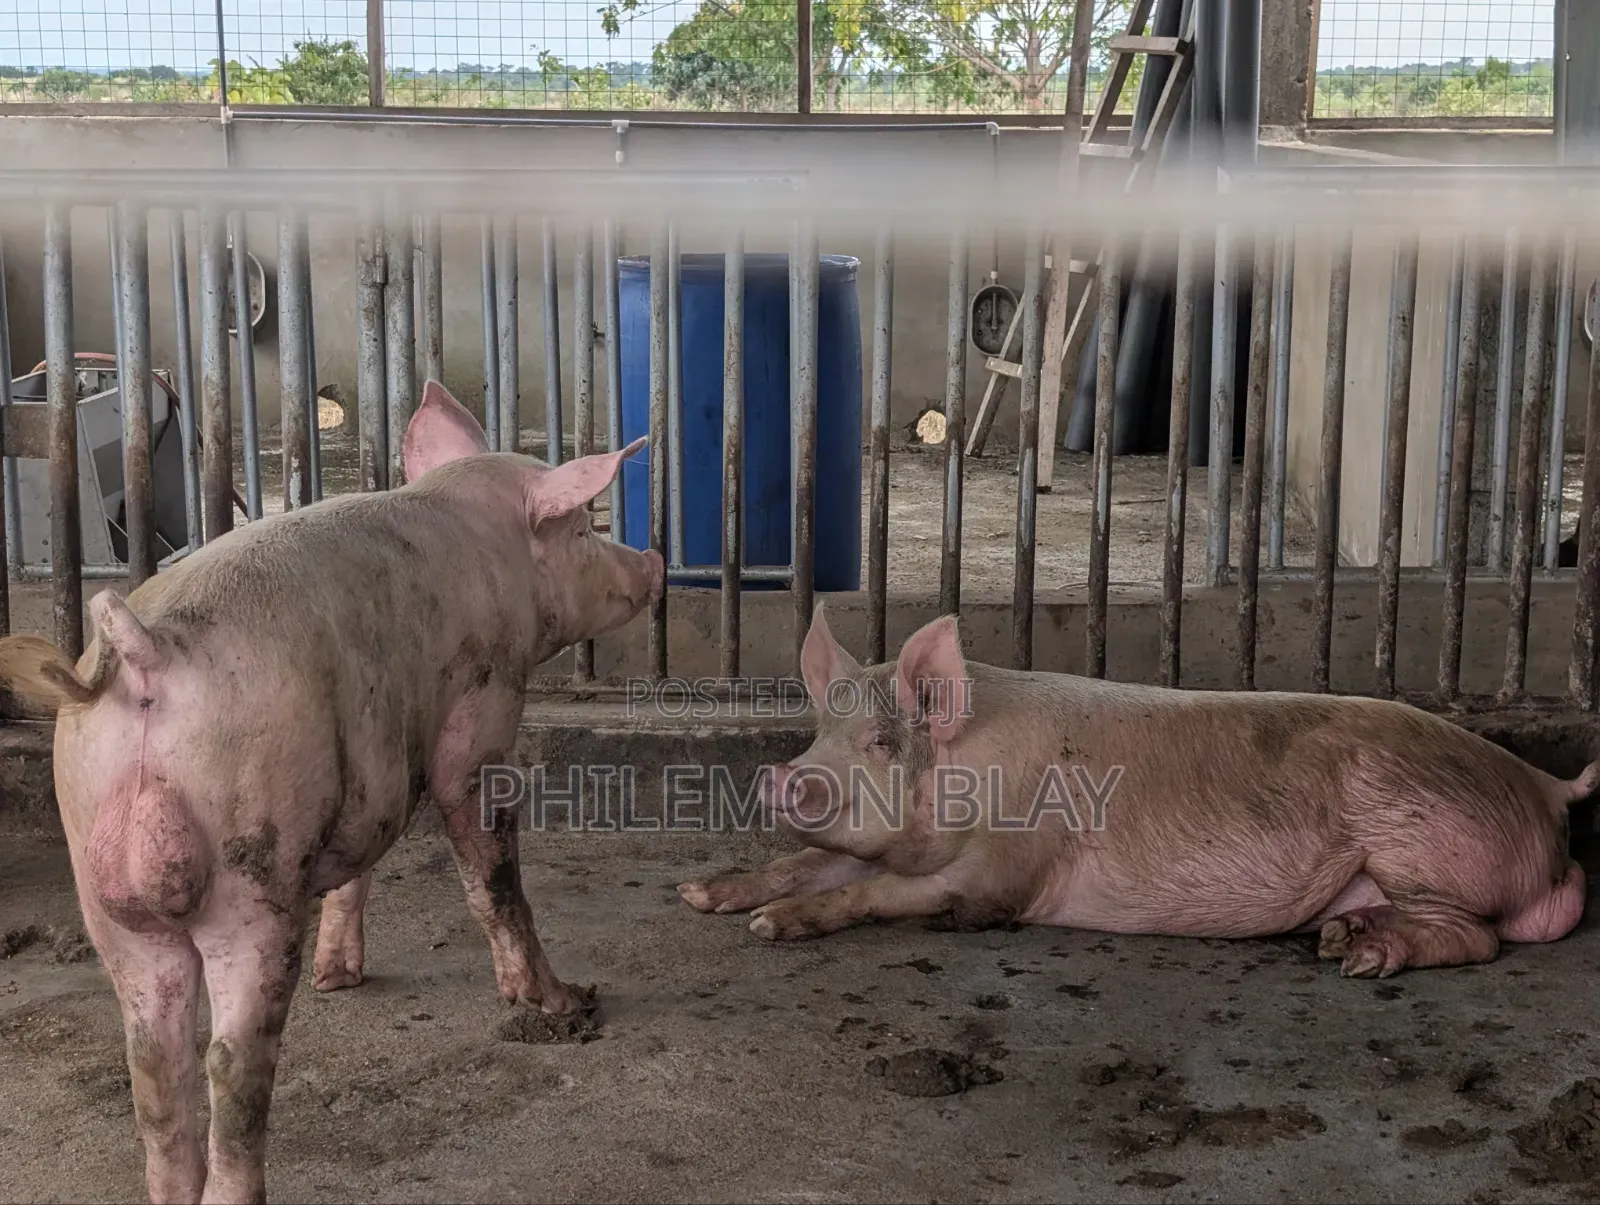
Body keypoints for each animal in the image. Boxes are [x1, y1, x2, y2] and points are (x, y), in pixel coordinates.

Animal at [0, 379, 663, 1205]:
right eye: (579, 528)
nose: (653, 558)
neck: (491, 541)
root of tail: (148, 653)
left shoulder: (371, 770)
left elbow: (362, 864)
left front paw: (339, 978)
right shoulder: (482, 702)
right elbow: (488, 861)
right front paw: (561, 1003)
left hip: (100, 876)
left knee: (154, 1057)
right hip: (252, 869)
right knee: (231, 1060)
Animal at [680, 606, 1596, 979]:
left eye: (878, 742)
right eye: (817, 732)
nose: (783, 774)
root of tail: (1545, 783)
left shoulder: (1003, 874)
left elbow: (876, 890)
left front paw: (770, 926)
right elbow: (814, 863)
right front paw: (701, 893)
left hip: (1420, 837)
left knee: (1481, 936)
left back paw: (1363, 958)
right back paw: (1344, 935)